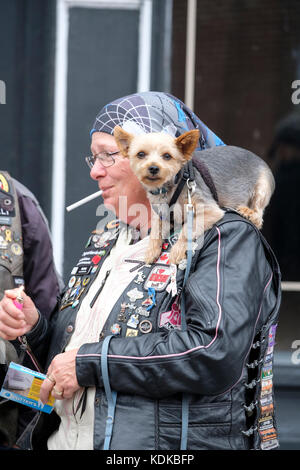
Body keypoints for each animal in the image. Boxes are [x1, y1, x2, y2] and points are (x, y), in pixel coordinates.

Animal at [113, 126, 276, 264]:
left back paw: (249, 212)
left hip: (263, 187)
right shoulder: (160, 214)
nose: (153, 168)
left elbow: (187, 229)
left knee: (259, 216)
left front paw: (177, 251)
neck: (168, 188)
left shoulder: (210, 210)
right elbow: (155, 231)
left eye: (167, 156)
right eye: (141, 154)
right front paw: (151, 251)